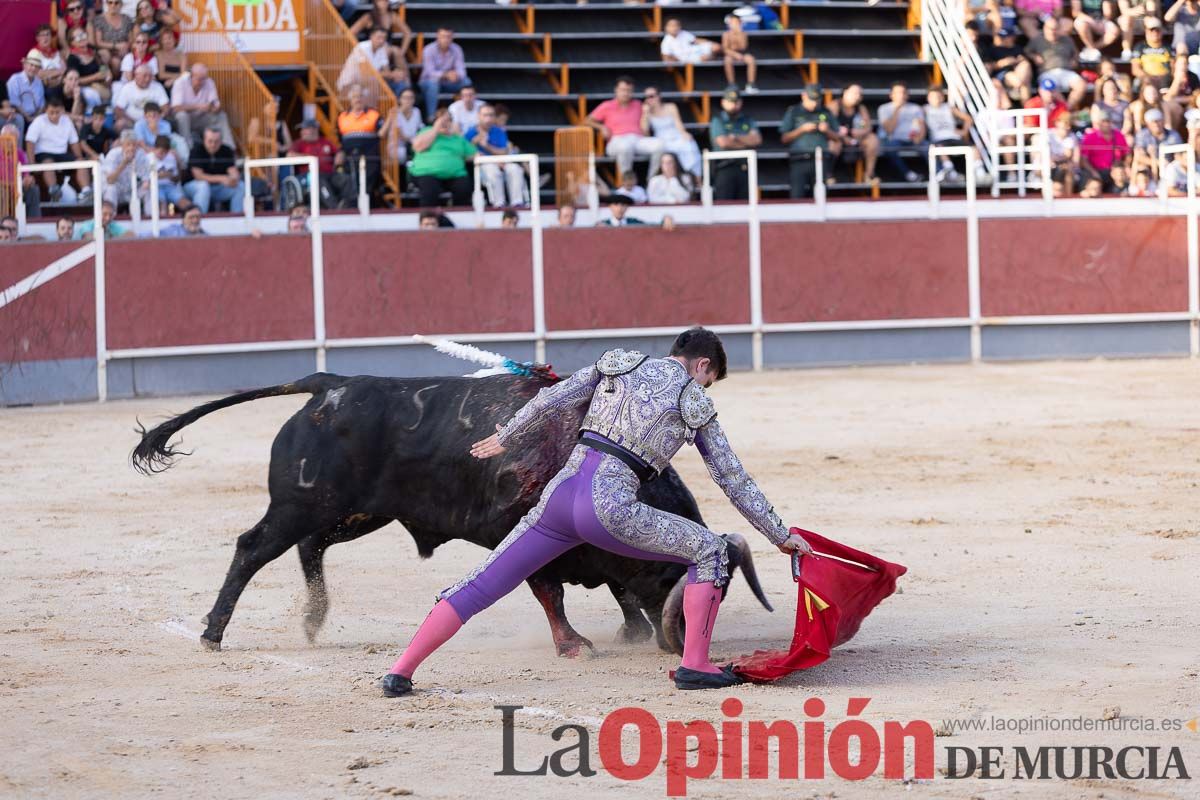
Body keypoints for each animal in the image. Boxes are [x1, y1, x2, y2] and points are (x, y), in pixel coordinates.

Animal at [129, 371, 768, 652]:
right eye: (671, 576)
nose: (681, 638)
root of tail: (331, 384)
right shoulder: (526, 537)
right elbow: (552, 593)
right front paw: (575, 644)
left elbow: (614, 587)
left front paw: (629, 629)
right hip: (300, 503)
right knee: (252, 548)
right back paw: (213, 633)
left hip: (356, 514)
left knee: (311, 547)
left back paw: (313, 618)